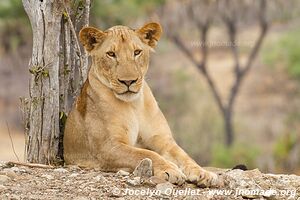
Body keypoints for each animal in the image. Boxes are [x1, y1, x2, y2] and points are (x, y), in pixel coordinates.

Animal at [63, 21, 219, 187]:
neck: (134, 104)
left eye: (137, 52)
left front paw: (203, 173)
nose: (128, 81)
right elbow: (145, 154)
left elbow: (184, 155)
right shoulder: (108, 147)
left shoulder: (163, 140)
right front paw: (171, 170)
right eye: (111, 54)